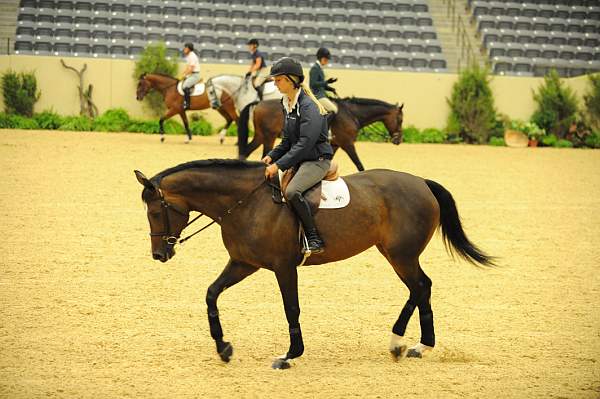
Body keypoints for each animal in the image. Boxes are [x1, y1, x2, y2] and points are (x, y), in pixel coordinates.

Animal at [134, 159, 494, 368]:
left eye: (155, 212)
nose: (159, 254)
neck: (246, 202)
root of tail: (421, 182)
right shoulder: (243, 263)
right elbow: (211, 294)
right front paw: (223, 348)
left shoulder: (283, 267)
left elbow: (291, 308)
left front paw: (290, 355)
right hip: (396, 254)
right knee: (422, 288)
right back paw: (412, 345)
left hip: (401, 255)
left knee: (419, 288)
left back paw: (407, 344)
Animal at [236, 98, 404, 172]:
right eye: (400, 119)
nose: (398, 140)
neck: (352, 114)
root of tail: (259, 103)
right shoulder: (347, 144)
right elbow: (359, 165)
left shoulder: (335, 145)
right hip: (269, 137)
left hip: (260, 136)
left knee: (247, 151)